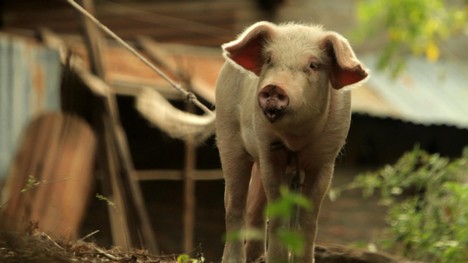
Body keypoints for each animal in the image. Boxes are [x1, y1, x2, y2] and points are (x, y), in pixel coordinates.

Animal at [216, 21, 370, 262]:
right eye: (269, 60)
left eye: (313, 65)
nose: (273, 87)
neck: (294, 140)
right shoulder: (268, 152)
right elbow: (278, 212)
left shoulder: (326, 160)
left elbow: (309, 218)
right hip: (226, 131)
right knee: (234, 203)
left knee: (254, 209)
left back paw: (256, 258)